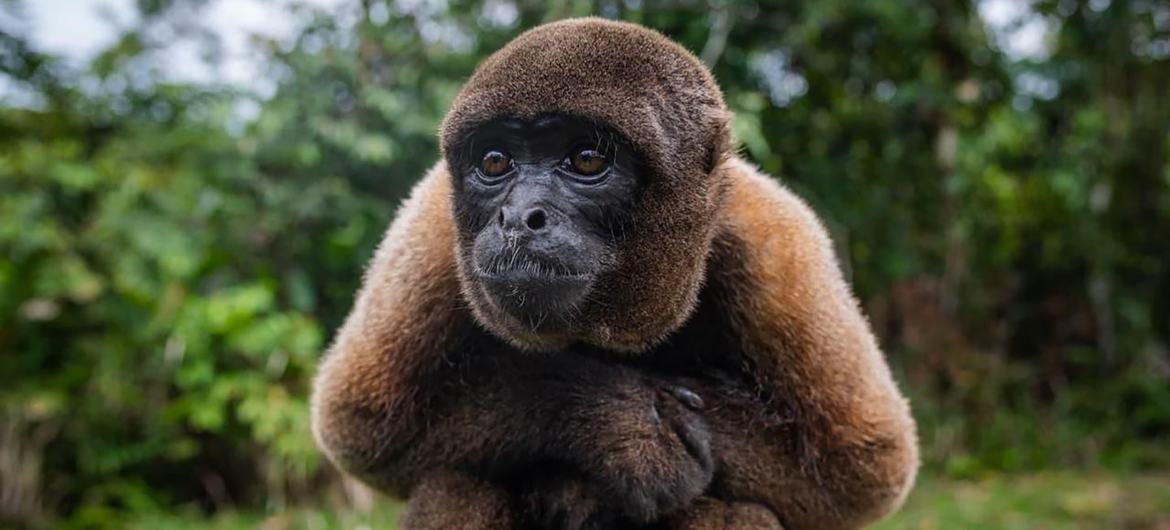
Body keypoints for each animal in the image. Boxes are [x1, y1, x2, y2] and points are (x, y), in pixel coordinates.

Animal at [311, 17, 919, 530]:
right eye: (493, 162)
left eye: (586, 159)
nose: (519, 217)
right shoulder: (433, 225)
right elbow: (365, 425)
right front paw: (628, 430)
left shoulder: (777, 242)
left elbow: (860, 469)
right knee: (455, 484)